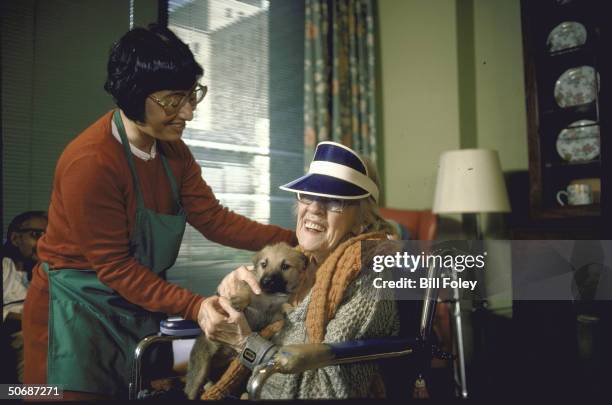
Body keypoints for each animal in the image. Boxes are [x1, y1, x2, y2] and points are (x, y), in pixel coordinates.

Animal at [182, 241, 306, 400]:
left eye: (285, 266)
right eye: (264, 264)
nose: (266, 281)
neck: (270, 295)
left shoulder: (272, 314)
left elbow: (282, 307)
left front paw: (290, 309)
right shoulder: (248, 287)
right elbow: (247, 291)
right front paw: (239, 301)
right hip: (200, 367)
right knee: (193, 387)